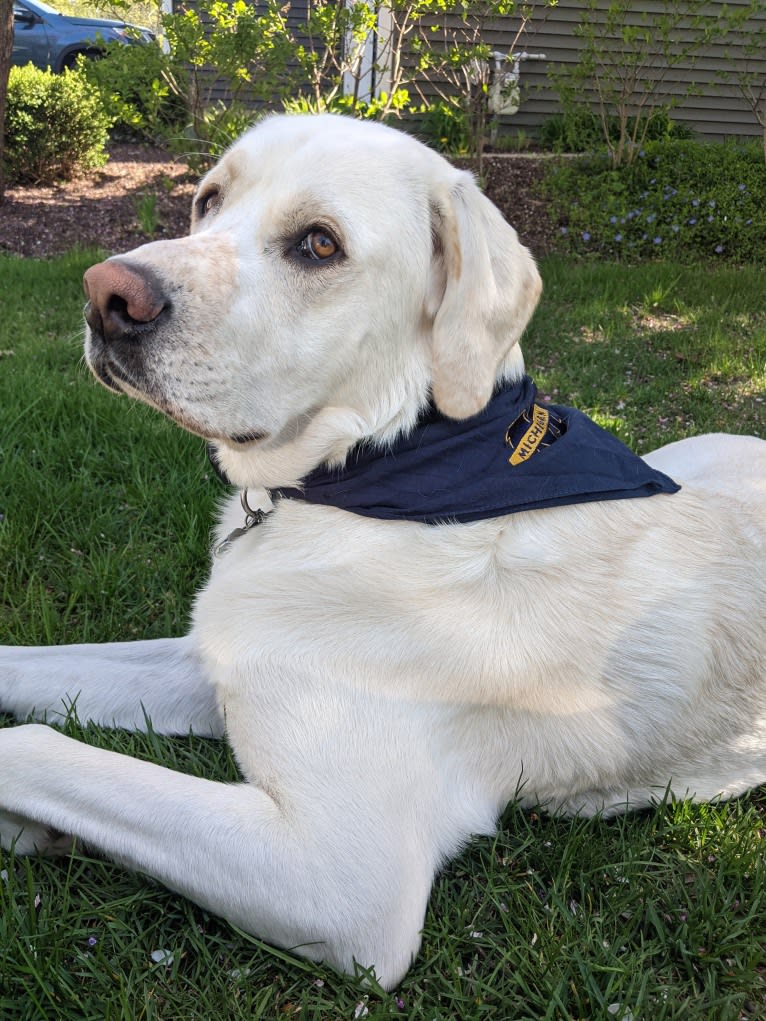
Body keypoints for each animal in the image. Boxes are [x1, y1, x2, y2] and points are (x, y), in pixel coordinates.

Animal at [1, 113, 766, 988]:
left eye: (319, 244)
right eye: (209, 199)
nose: (105, 295)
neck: (385, 470)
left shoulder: (344, 882)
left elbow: (33, 744)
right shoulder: (214, 663)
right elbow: (31, 672)